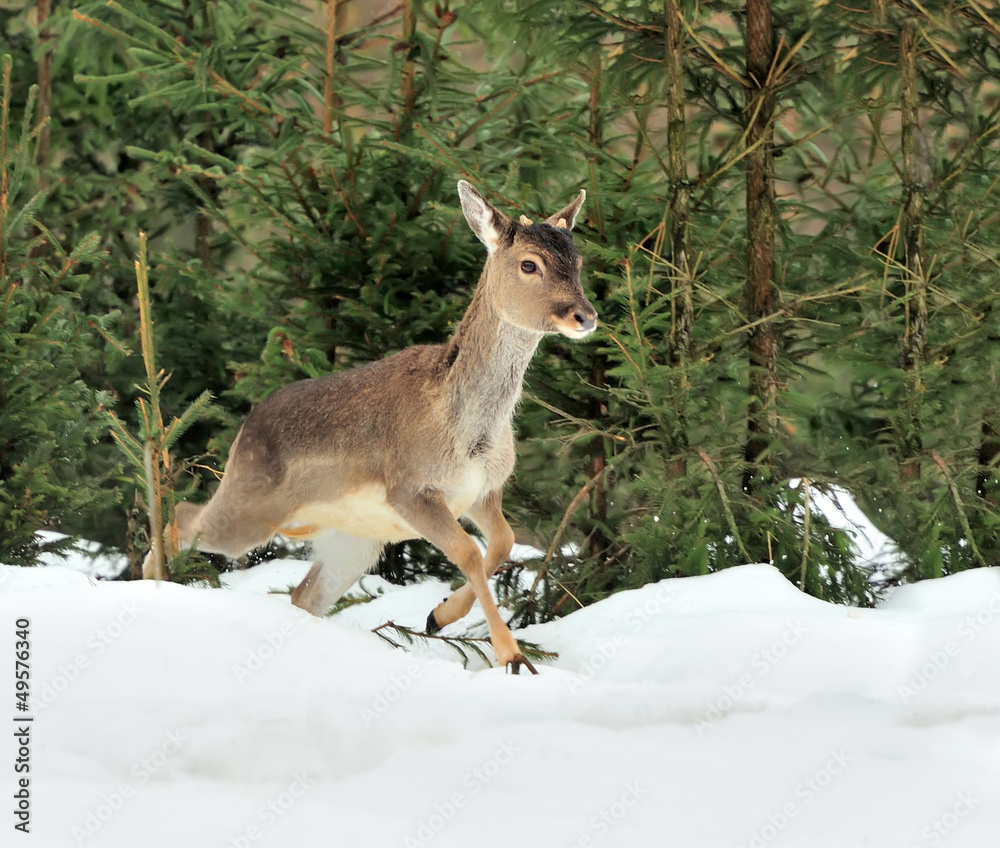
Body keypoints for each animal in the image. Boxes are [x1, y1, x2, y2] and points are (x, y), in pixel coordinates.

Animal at [169, 182, 596, 672]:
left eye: (578, 261)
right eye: (529, 263)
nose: (585, 315)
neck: (471, 431)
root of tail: (244, 430)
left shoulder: (484, 489)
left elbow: (504, 542)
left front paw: (439, 615)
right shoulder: (410, 488)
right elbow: (468, 552)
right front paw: (512, 656)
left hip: (352, 539)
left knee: (303, 594)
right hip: (249, 508)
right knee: (182, 516)